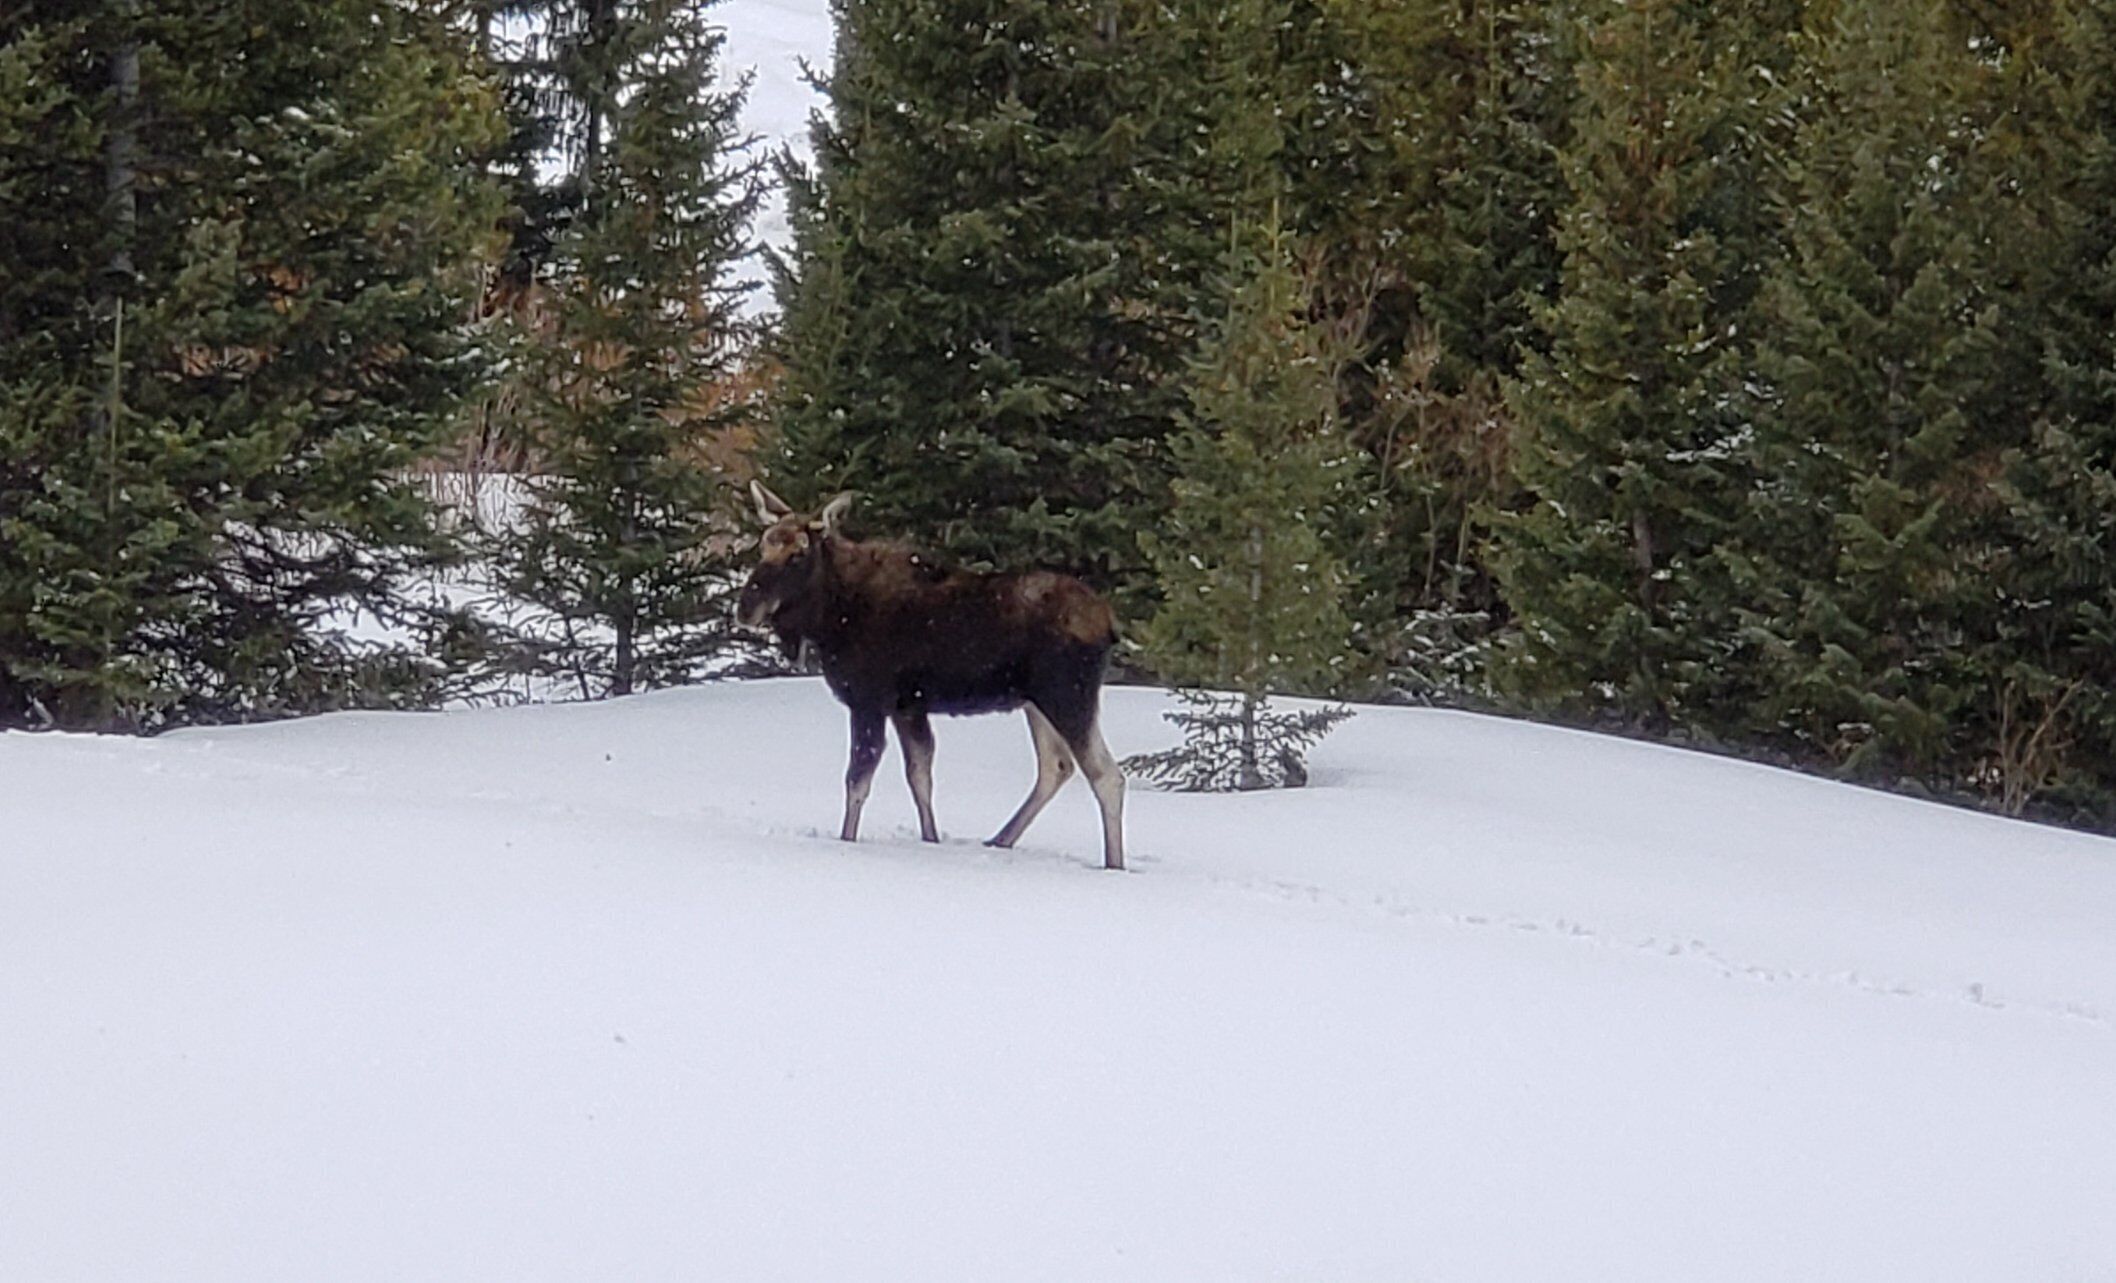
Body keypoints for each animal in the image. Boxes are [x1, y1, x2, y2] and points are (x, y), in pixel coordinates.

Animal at [735, 482, 1127, 870]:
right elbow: (919, 776)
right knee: (1056, 766)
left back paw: (1113, 864)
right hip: (1035, 702)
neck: (830, 615)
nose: (746, 608)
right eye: (763, 546)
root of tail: (1109, 622)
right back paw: (1000, 840)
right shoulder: (908, 707)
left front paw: (847, 840)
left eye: (798, 555)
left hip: (1066, 695)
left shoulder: (868, 700)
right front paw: (931, 840)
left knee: (1106, 775)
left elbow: (858, 779)